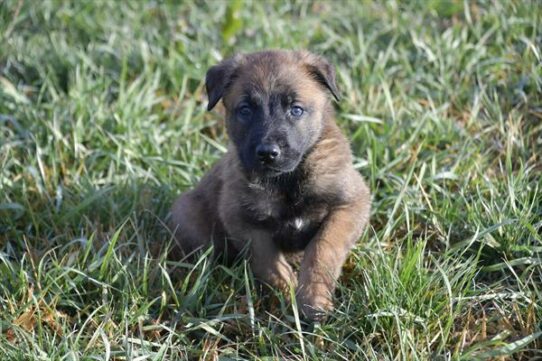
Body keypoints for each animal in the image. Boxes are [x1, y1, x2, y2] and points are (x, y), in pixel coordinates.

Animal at [172, 50, 372, 318]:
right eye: (245, 110)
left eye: (296, 110)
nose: (267, 153)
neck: (287, 181)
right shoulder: (244, 221)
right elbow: (271, 266)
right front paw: (289, 299)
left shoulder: (349, 203)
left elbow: (322, 249)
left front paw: (313, 301)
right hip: (186, 213)